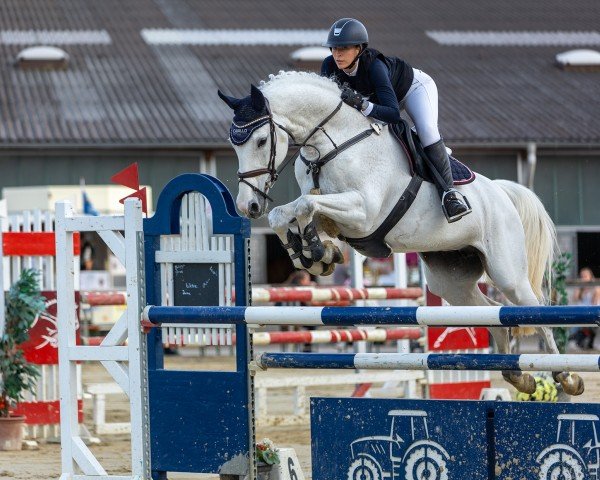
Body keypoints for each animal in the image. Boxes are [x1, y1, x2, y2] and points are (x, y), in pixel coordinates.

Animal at [218, 69, 584, 396]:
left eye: (261, 140)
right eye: (233, 146)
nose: (248, 206)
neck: (332, 145)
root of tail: (502, 192)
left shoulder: (363, 214)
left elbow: (306, 204)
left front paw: (317, 253)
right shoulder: (336, 216)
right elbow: (286, 213)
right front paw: (314, 255)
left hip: (507, 271)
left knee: (533, 307)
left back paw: (566, 377)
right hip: (449, 280)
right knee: (490, 309)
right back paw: (517, 376)